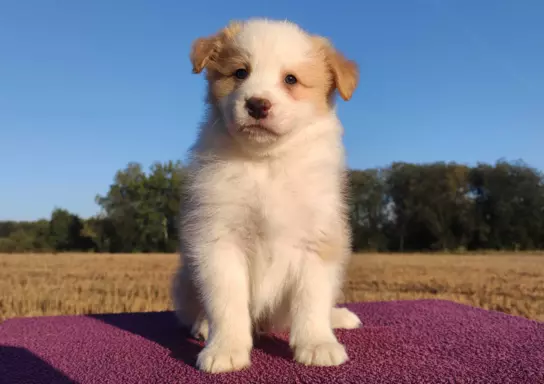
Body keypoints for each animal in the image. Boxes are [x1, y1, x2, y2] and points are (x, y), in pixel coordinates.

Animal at [172, 17, 362, 372]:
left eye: (290, 79)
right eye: (240, 73)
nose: (257, 104)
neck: (267, 163)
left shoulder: (318, 241)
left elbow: (311, 300)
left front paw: (318, 344)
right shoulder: (219, 240)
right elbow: (227, 302)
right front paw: (226, 349)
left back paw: (339, 317)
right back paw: (203, 327)